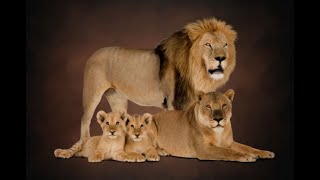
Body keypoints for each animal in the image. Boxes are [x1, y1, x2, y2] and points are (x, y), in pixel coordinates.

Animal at [79, 17, 236, 143]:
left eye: (225, 45)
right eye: (208, 44)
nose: (221, 58)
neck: (196, 71)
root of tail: (94, 53)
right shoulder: (174, 102)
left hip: (117, 98)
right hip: (92, 95)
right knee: (85, 119)